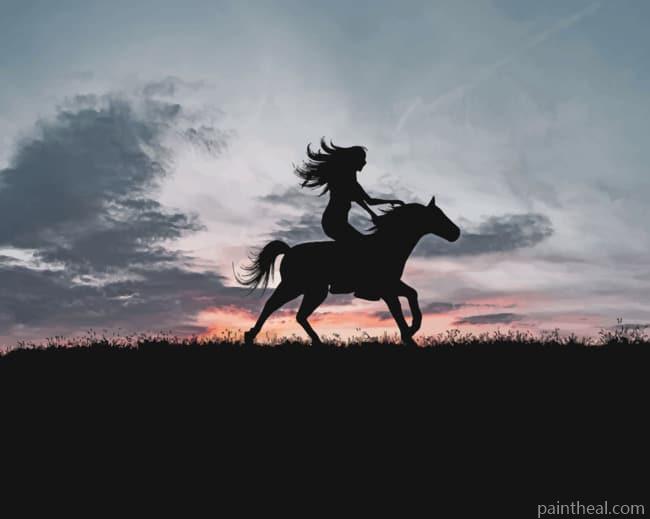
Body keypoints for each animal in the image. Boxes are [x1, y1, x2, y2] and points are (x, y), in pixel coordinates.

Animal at [235, 195, 460, 346]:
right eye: (437, 215)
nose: (456, 232)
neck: (388, 244)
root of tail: (289, 251)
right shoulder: (387, 290)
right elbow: (397, 312)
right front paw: (408, 337)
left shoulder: (392, 285)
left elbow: (413, 294)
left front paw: (413, 329)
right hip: (295, 286)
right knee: (272, 306)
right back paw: (251, 335)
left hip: (314, 290)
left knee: (299, 315)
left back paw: (316, 342)